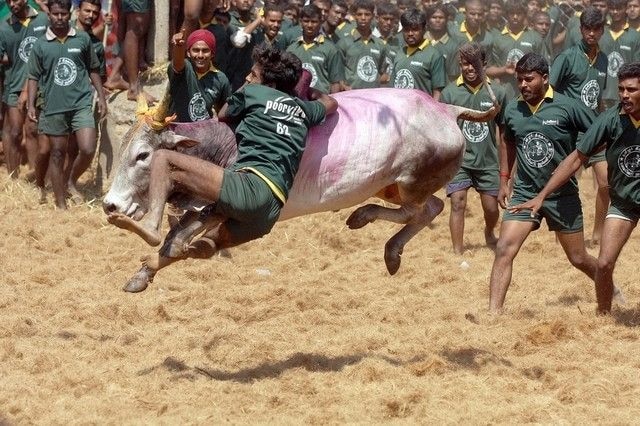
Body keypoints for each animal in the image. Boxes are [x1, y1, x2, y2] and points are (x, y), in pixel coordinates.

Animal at [102, 88, 498, 292]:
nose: (110, 205)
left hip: (410, 181)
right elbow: (180, 241)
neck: (224, 142)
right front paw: (142, 274)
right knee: (431, 209)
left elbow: (176, 240)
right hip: (391, 185)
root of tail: (445, 109)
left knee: (419, 210)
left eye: (143, 155)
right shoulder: (211, 212)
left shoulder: (224, 205)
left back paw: (368, 223)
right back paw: (388, 248)